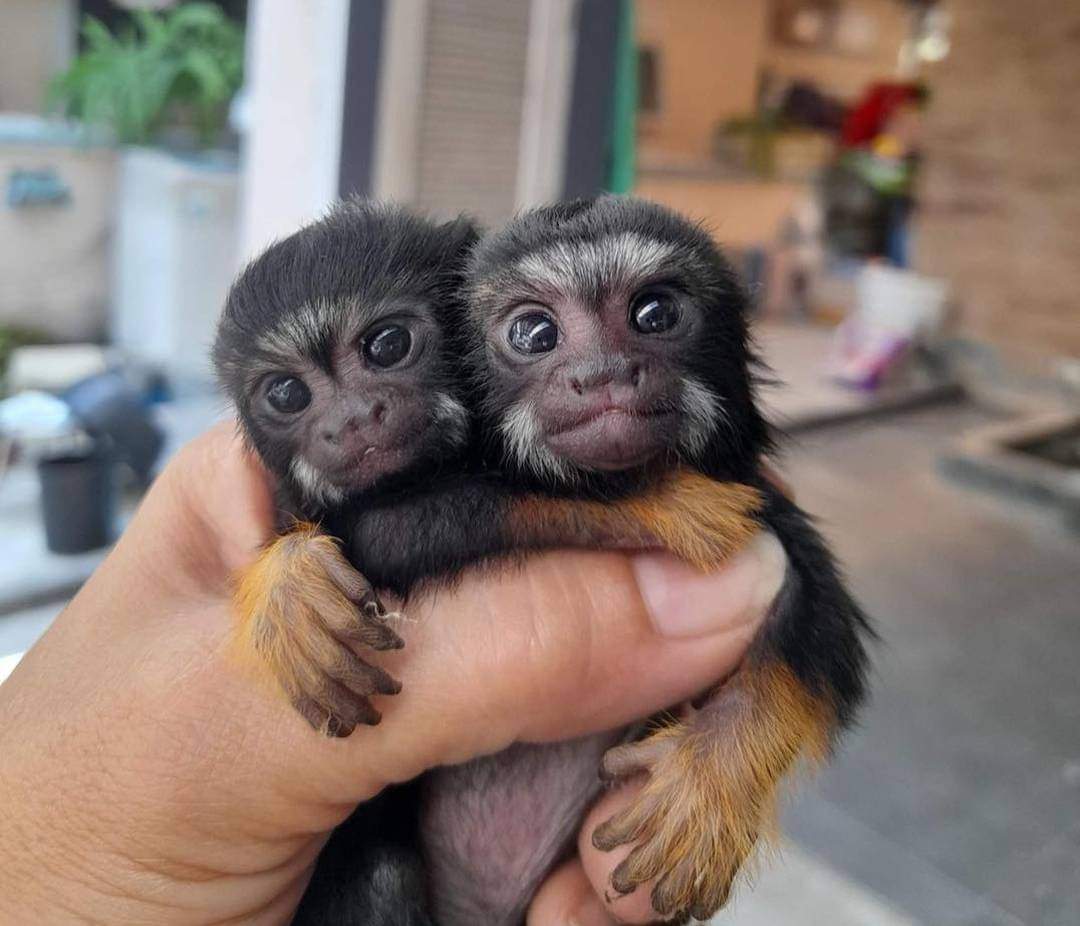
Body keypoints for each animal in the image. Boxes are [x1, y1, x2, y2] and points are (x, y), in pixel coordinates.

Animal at [280, 196, 871, 925]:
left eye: (655, 314)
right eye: (535, 333)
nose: (604, 374)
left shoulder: (767, 508)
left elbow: (815, 620)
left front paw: (712, 773)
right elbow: (388, 531)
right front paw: (664, 506)